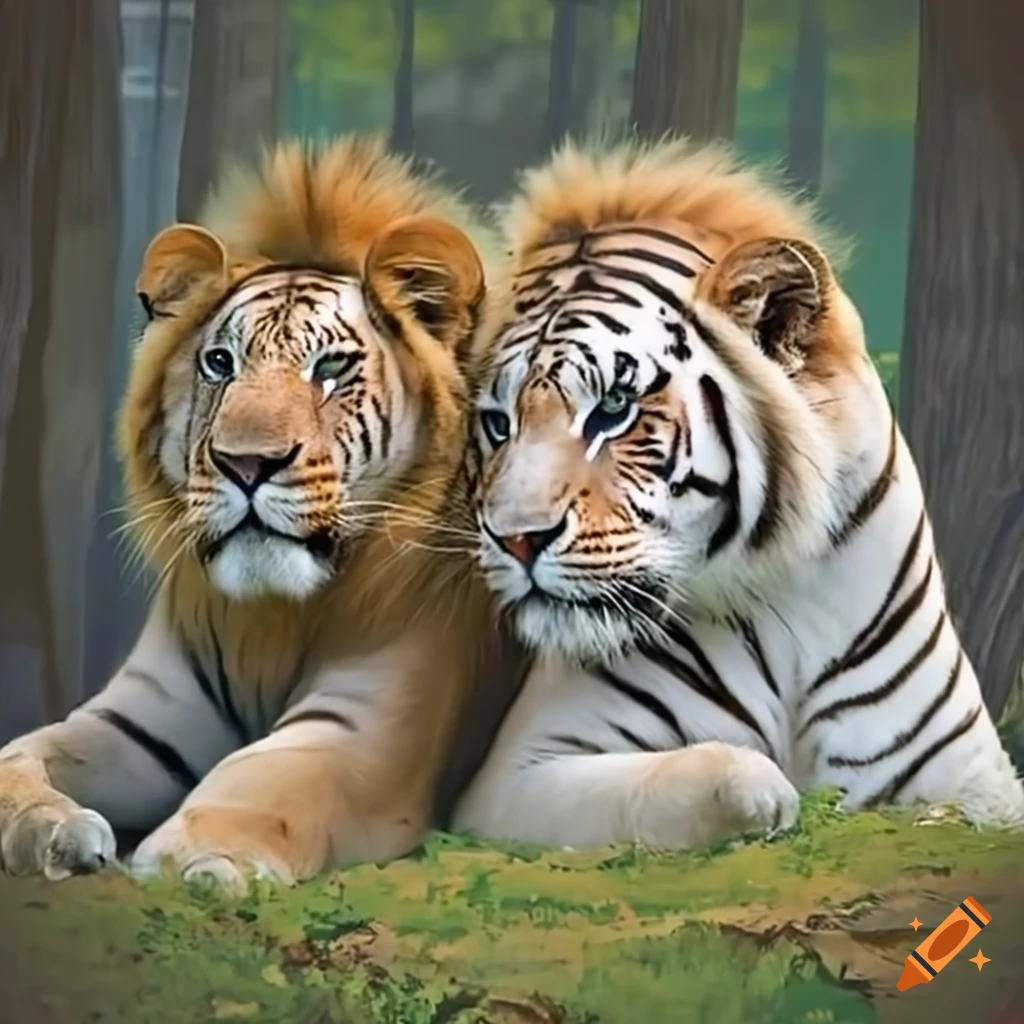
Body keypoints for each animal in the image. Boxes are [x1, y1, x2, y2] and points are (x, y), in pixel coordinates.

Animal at [0, 135, 507, 888]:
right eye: (220, 362)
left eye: (331, 368)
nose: (245, 464)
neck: (274, 619)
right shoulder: (138, 720)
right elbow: (19, 754)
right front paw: (53, 831)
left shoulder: (367, 725)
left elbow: (259, 777)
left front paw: (186, 857)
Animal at [451, 138, 1024, 852]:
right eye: (499, 423)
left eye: (613, 408)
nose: (516, 539)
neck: (787, 605)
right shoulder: (520, 771)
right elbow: (720, 773)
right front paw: (777, 797)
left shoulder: (975, 776)